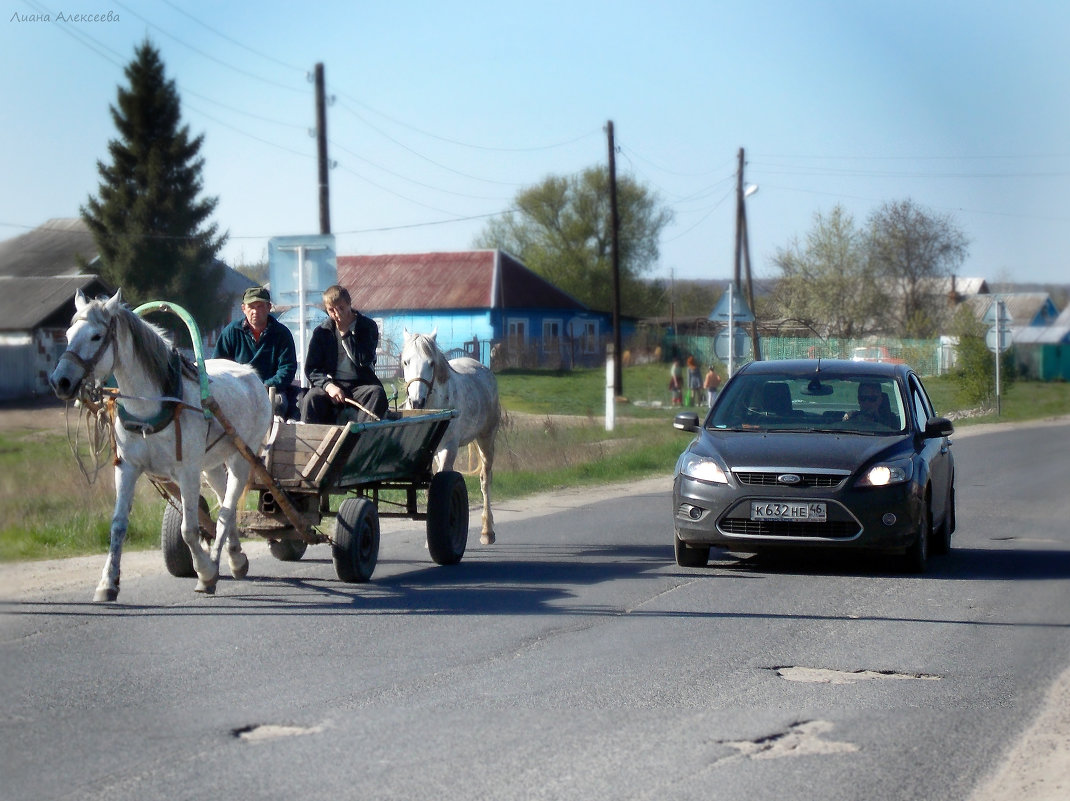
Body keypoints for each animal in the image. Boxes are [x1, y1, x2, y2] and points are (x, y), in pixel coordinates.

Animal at [49, 288, 271, 598]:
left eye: (95, 336)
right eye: (68, 334)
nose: (61, 382)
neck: (152, 405)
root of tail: (251, 374)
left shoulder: (187, 472)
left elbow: (189, 529)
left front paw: (204, 572)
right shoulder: (127, 467)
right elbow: (118, 525)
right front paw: (108, 582)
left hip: (241, 457)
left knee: (227, 508)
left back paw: (219, 563)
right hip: (211, 464)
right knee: (224, 501)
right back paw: (234, 557)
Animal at [402, 327, 500, 543]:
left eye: (431, 363)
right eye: (406, 361)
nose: (417, 401)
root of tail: (482, 367)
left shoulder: (449, 448)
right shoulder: (430, 452)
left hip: (486, 439)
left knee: (485, 480)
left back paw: (487, 531)